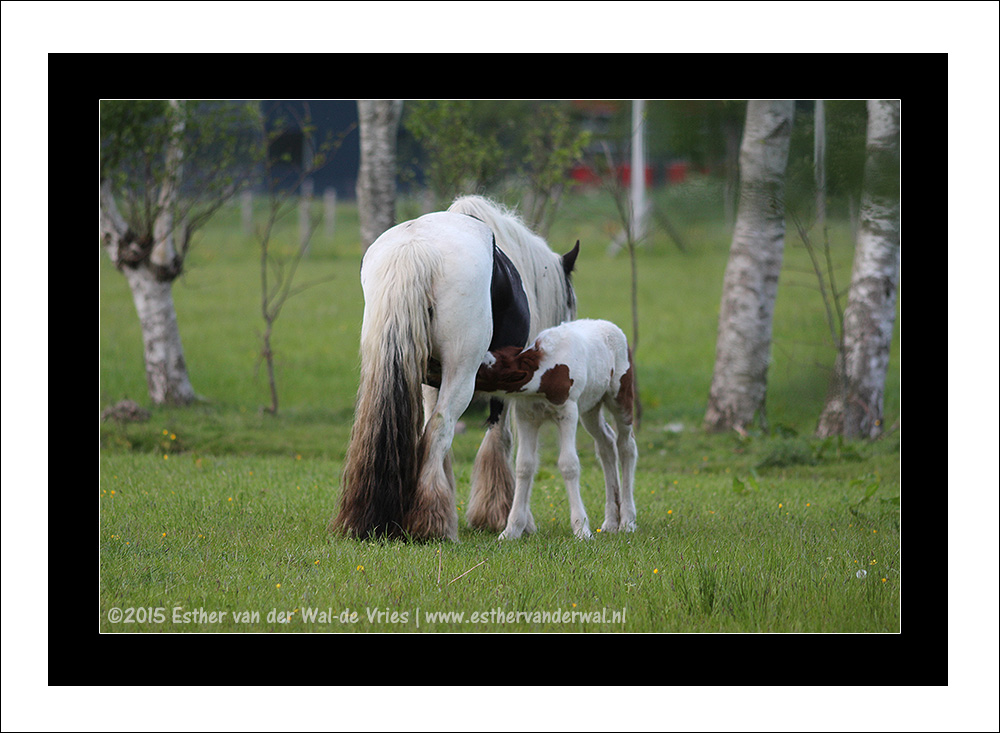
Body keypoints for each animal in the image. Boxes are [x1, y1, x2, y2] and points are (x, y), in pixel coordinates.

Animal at [332, 197, 580, 540]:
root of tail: (416, 248)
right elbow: (498, 437)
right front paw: (499, 514)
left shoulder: (430, 381)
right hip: (462, 373)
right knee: (441, 426)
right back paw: (434, 523)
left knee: (421, 427)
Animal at [476, 318, 640, 536]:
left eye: (479, 372)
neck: (546, 369)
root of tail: (611, 326)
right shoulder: (526, 416)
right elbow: (524, 465)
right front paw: (512, 530)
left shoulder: (568, 412)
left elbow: (568, 464)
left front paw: (581, 529)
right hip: (591, 406)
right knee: (606, 444)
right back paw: (611, 522)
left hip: (620, 396)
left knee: (626, 446)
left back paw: (627, 521)